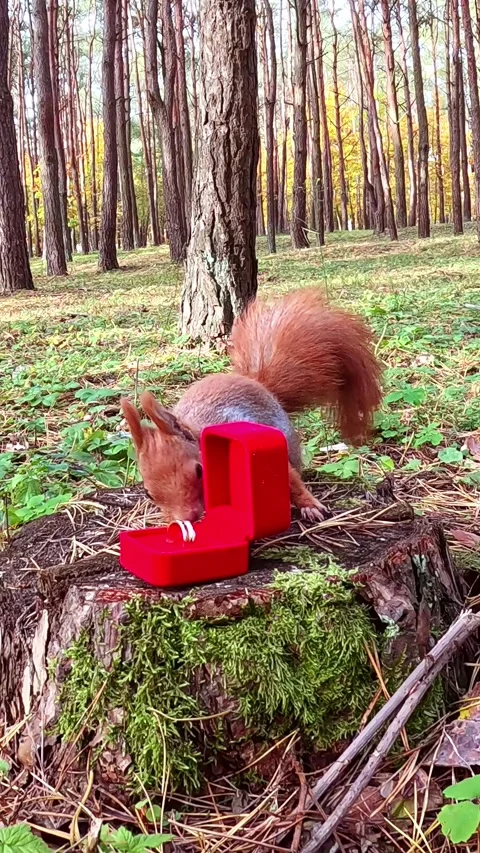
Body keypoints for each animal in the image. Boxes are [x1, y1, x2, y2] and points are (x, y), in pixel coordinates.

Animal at [121, 288, 382, 524]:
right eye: (148, 494)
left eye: (199, 470)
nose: (188, 517)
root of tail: (258, 383)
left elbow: (290, 479)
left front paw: (310, 506)